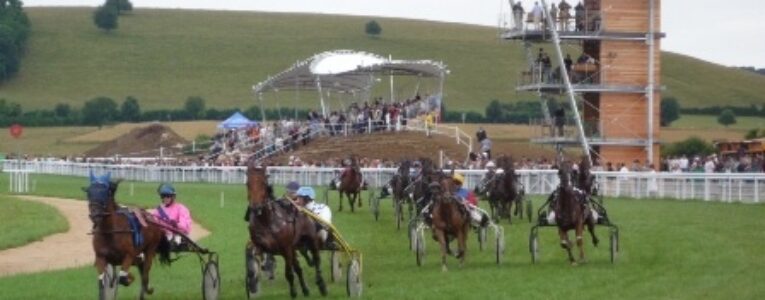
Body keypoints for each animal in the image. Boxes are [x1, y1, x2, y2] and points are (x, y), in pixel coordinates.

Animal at [246, 165, 326, 298]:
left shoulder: (286, 248)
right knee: (298, 268)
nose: (256, 207)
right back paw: (305, 290)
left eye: (263, 183)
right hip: (293, 247)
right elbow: (253, 262)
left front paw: (293, 292)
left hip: (311, 239)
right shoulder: (260, 246)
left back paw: (321, 285)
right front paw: (253, 282)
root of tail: (301, 207)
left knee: (316, 259)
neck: (267, 222)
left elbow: (289, 273)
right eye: (248, 183)